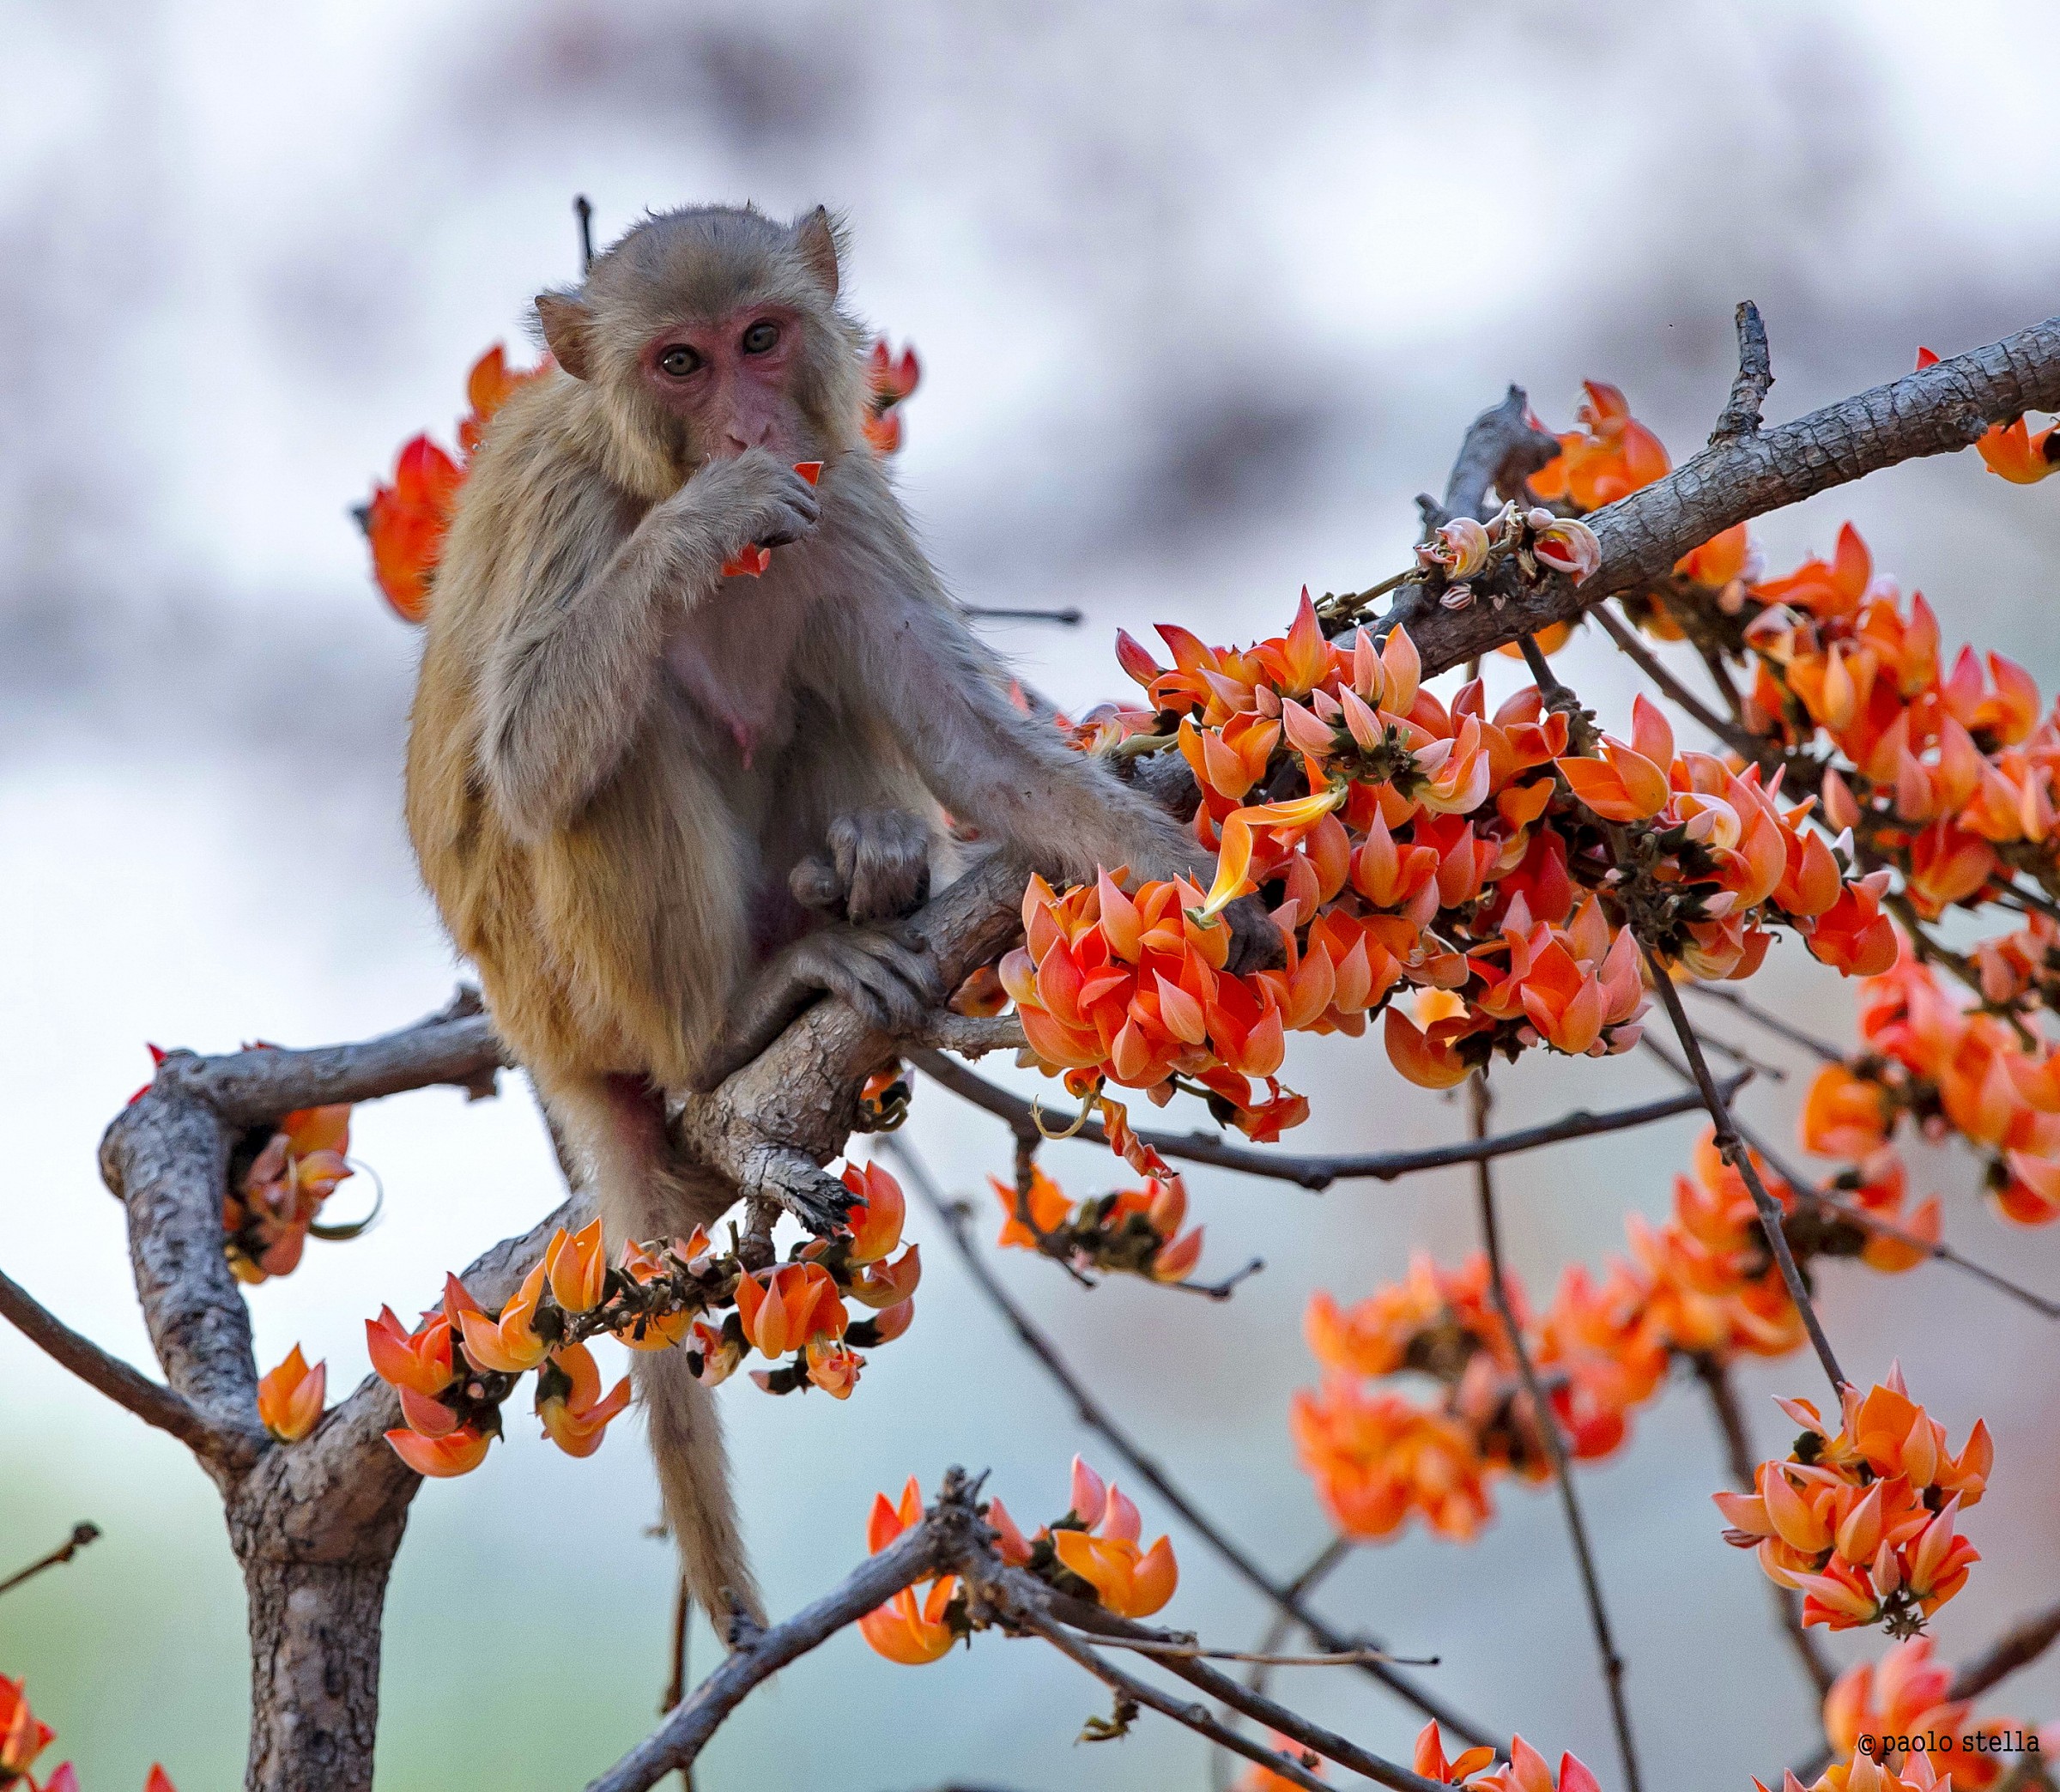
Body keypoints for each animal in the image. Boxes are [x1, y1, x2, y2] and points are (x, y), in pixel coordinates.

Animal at [403, 202, 1279, 1629]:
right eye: (682, 364)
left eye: (761, 339)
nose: (751, 426)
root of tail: (542, 1041)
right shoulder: (563, 499)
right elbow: (527, 760)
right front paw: (708, 518)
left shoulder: (847, 486)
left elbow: (966, 737)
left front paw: (1189, 872)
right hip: (573, 989)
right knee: (612, 759)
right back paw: (733, 1022)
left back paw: (858, 873)